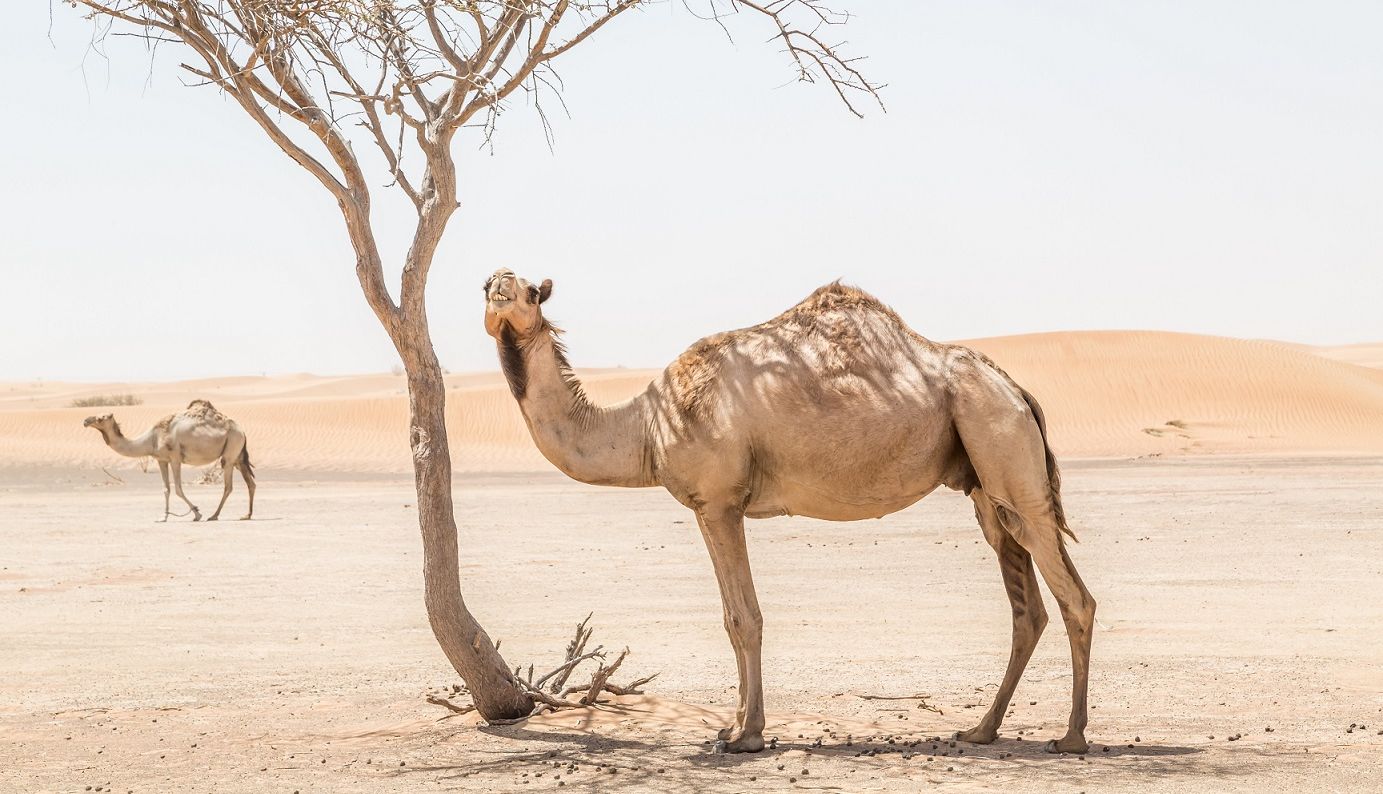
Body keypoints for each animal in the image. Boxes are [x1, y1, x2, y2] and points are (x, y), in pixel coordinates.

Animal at [85, 401, 257, 525]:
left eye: (100, 418)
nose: (86, 420)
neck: (152, 438)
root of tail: (242, 431)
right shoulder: (162, 460)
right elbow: (166, 489)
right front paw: (163, 517)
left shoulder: (175, 458)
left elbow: (178, 489)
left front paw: (197, 514)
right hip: (238, 457)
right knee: (251, 483)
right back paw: (247, 515)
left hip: (231, 450)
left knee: (228, 486)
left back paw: (214, 515)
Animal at [481, 271, 1095, 758]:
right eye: (487, 285)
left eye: (530, 291)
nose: (499, 285)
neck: (647, 426)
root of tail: (1016, 389)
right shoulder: (707, 507)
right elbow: (731, 619)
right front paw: (731, 726)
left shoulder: (722, 502)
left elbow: (745, 618)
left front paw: (747, 735)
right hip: (985, 481)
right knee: (1026, 604)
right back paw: (982, 729)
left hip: (1002, 443)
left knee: (1074, 597)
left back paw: (1071, 737)